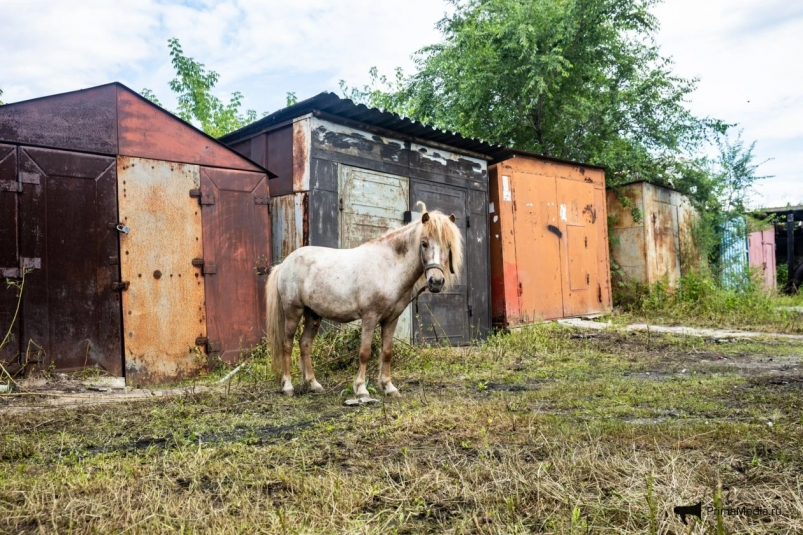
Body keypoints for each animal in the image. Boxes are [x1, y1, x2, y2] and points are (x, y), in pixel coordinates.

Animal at [266, 205, 464, 398]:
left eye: (448, 245)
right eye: (424, 244)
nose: (436, 282)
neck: (388, 267)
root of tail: (285, 264)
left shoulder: (391, 320)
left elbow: (387, 352)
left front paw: (388, 387)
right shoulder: (370, 317)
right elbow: (364, 352)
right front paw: (361, 389)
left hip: (313, 315)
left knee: (305, 344)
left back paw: (314, 384)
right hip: (293, 311)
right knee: (287, 345)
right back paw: (288, 386)